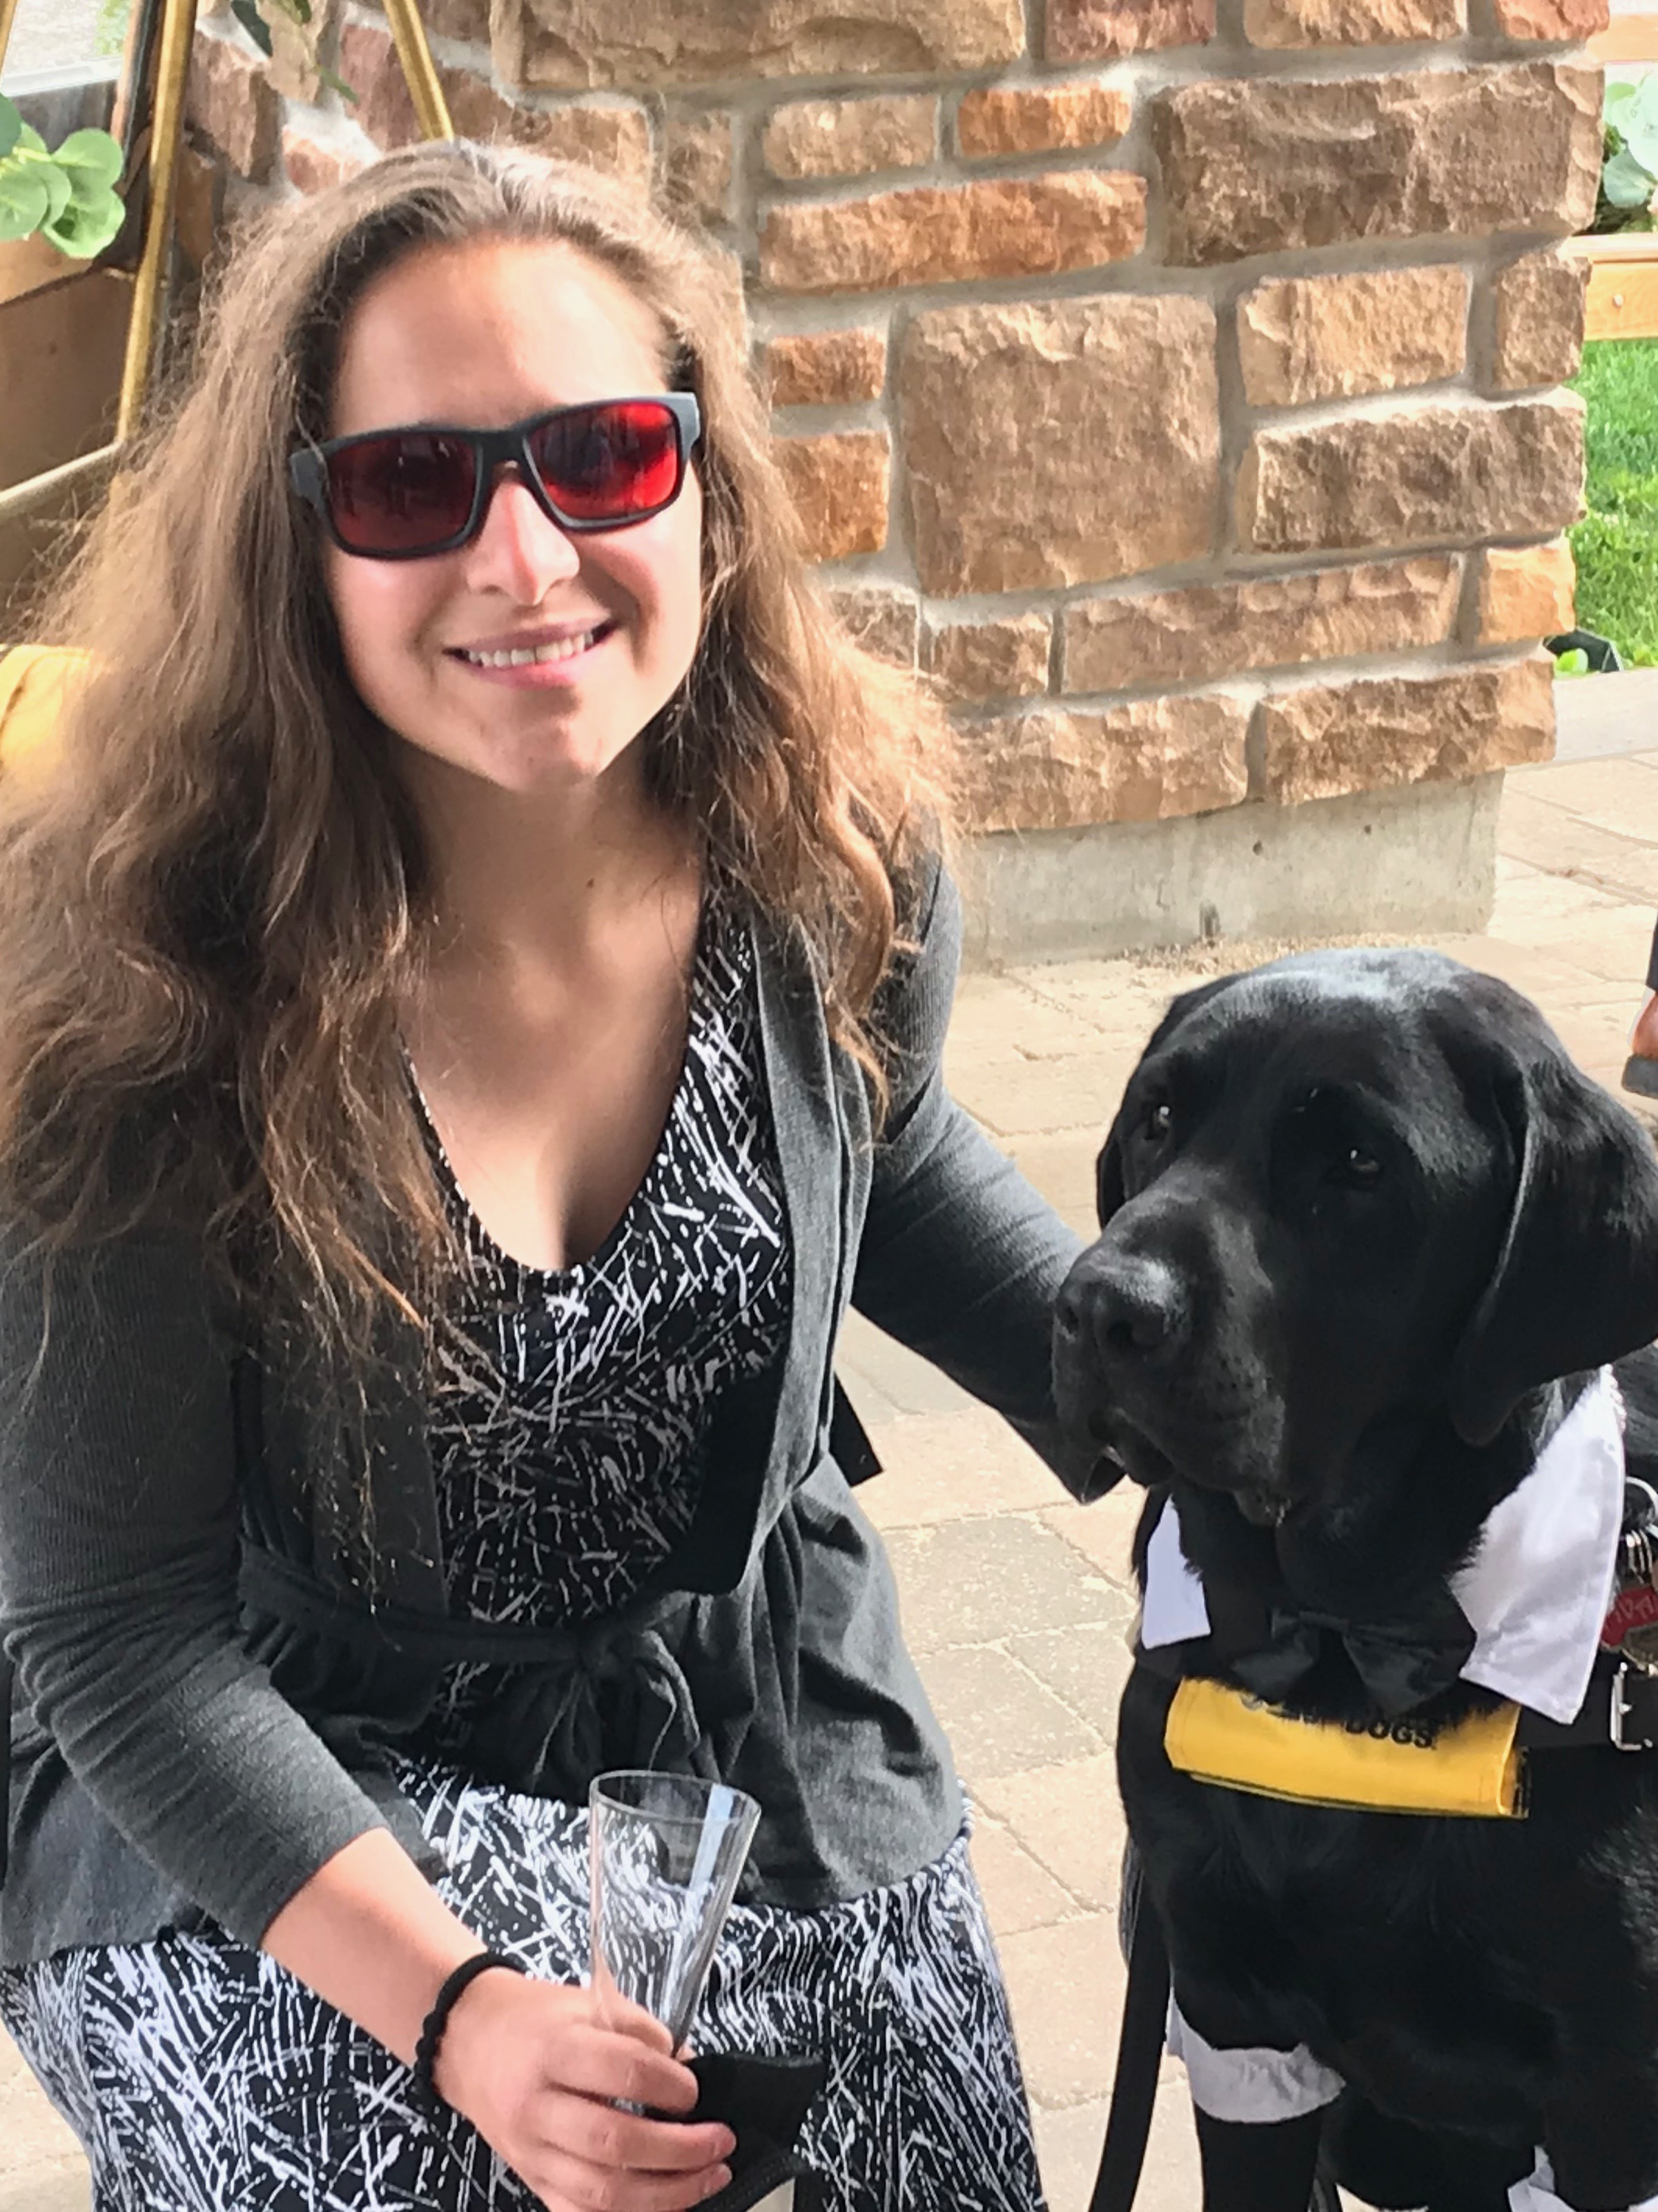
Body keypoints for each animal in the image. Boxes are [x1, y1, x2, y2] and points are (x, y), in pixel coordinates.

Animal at [1056, 951, 1658, 2212]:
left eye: (1356, 1164)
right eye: (1158, 1119)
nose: (1095, 1306)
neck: (1340, 1641)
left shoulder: (1610, 2113)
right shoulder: (1230, 2013)